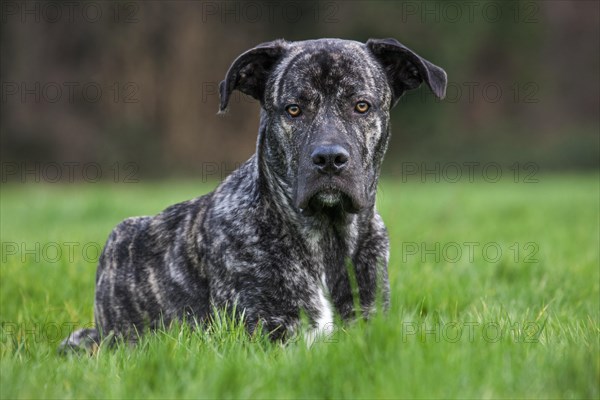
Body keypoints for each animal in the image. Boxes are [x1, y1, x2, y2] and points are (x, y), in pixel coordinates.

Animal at [61, 36, 446, 350]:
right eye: (293, 109)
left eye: (361, 105)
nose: (329, 159)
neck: (325, 237)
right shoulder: (265, 335)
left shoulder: (366, 321)